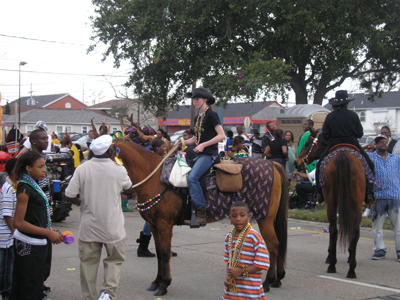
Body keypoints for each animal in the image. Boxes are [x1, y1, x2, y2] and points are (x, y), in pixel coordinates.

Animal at [114, 140, 290, 296]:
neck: (156, 179)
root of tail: (272, 165)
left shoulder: (164, 224)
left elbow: (164, 253)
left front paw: (164, 284)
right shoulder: (153, 225)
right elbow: (158, 252)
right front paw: (157, 281)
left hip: (264, 218)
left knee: (273, 246)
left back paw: (268, 281)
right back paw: (277, 279)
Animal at [294, 129, 366, 278]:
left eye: (308, 143)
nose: (296, 162)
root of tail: (343, 156)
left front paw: (330, 255)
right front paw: (349, 254)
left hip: (333, 201)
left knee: (334, 229)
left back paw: (332, 264)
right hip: (355, 201)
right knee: (353, 231)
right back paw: (351, 269)